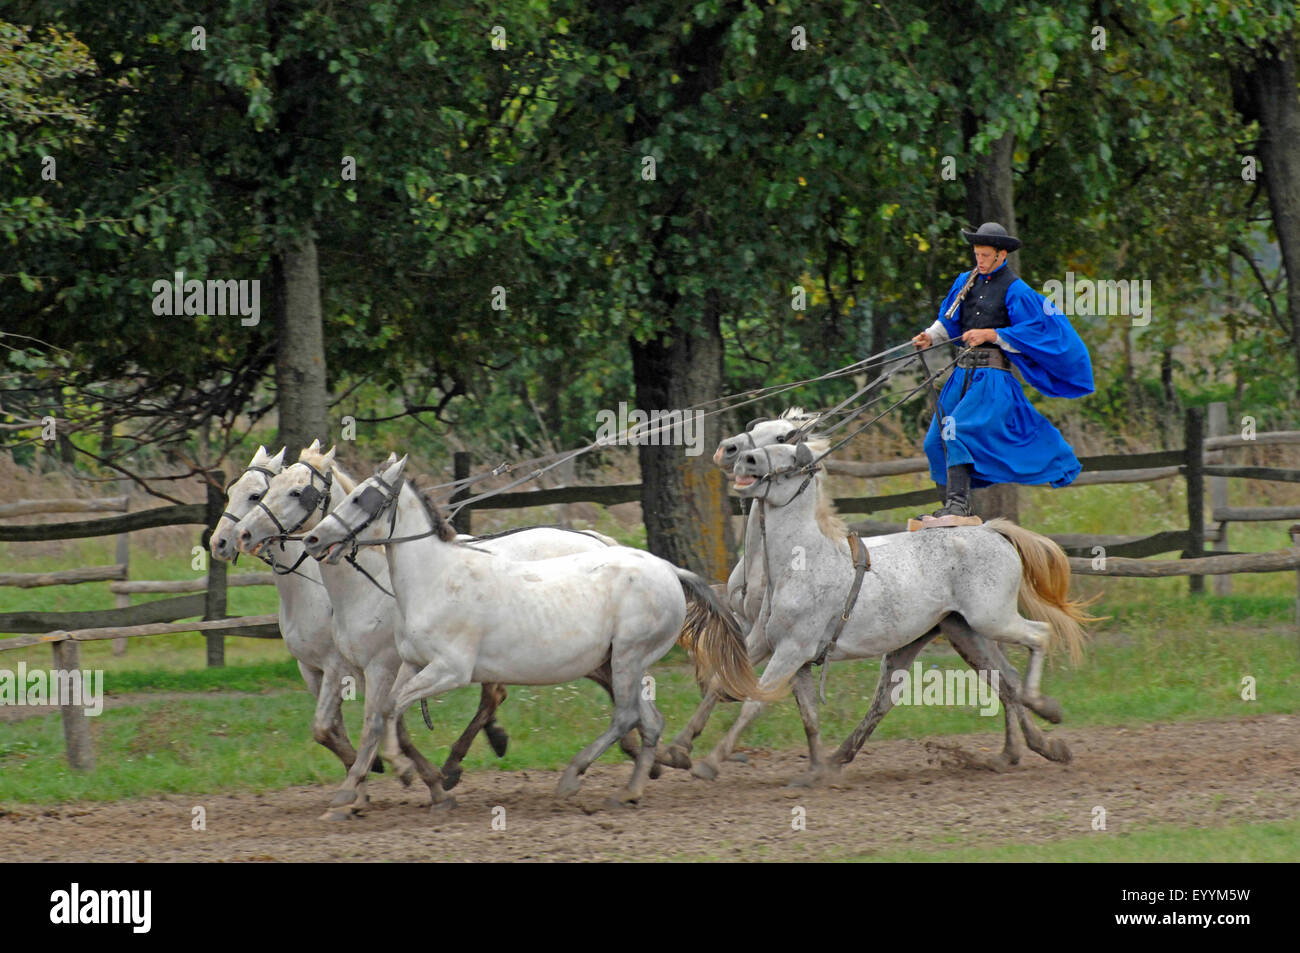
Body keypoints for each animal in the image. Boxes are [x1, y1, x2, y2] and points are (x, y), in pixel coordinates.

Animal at [302, 452, 769, 800]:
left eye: (361, 499)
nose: (313, 539)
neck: (436, 579)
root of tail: (670, 570)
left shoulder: (451, 671)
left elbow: (390, 709)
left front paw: (402, 770)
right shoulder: (412, 665)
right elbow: (384, 712)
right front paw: (357, 790)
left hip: (629, 657)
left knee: (626, 716)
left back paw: (573, 776)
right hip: (625, 663)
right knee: (649, 721)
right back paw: (630, 790)